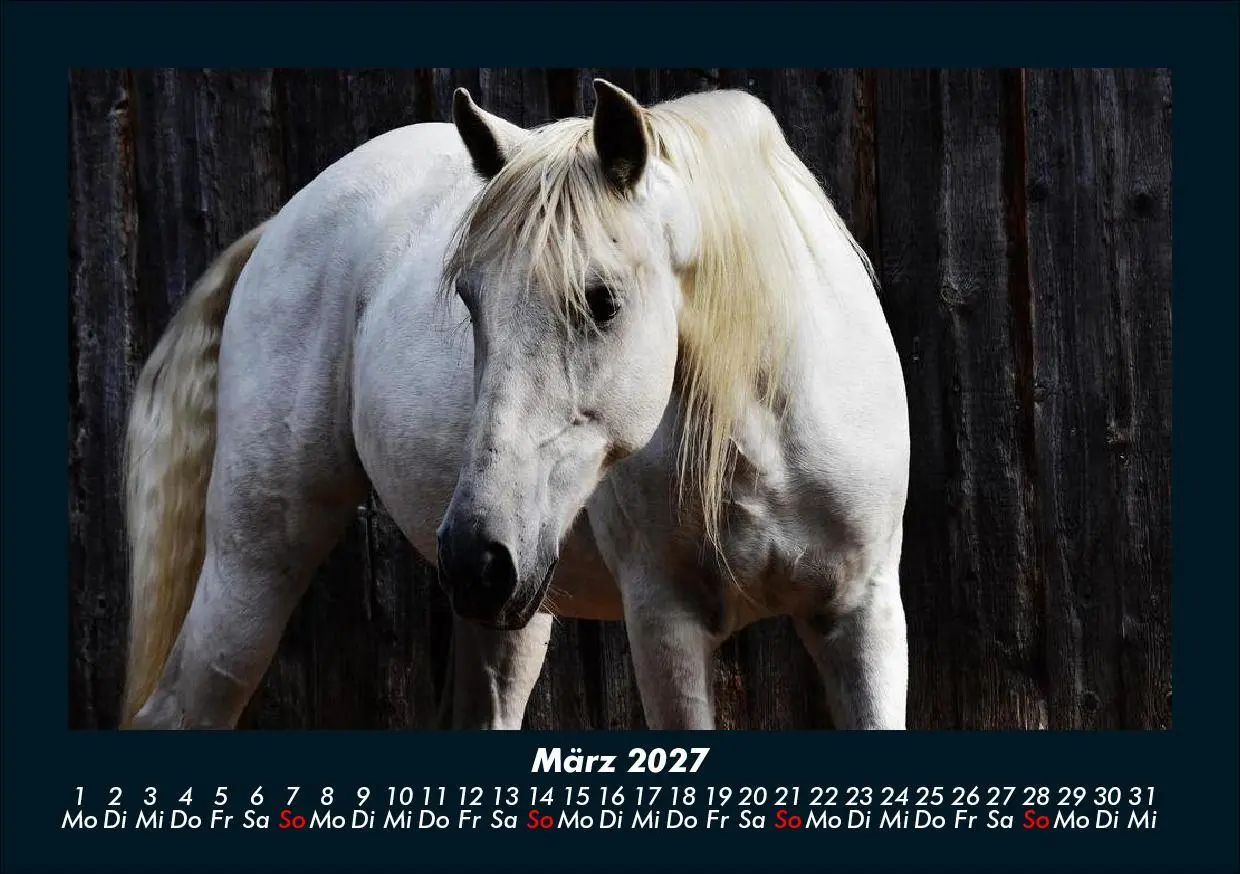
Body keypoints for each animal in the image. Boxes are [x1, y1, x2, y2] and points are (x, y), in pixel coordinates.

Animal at [119, 79, 911, 731]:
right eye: (468, 299)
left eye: (602, 300)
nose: (475, 555)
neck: (767, 440)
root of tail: (283, 222)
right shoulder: (666, 626)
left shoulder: (862, 620)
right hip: (259, 557)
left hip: (508, 607)